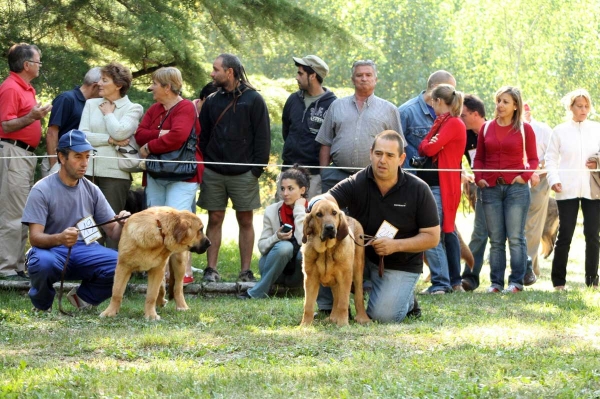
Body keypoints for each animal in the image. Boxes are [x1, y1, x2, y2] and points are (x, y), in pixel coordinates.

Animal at [300, 200, 370, 328]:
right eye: (319, 214)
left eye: (334, 213)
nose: (330, 228)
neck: (326, 251)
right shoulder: (310, 278)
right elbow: (308, 305)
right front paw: (305, 325)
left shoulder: (345, 277)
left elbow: (343, 303)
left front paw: (343, 324)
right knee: (336, 298)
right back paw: (332, 318)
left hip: (357, 270)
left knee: (358, 296)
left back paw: (363, 318)